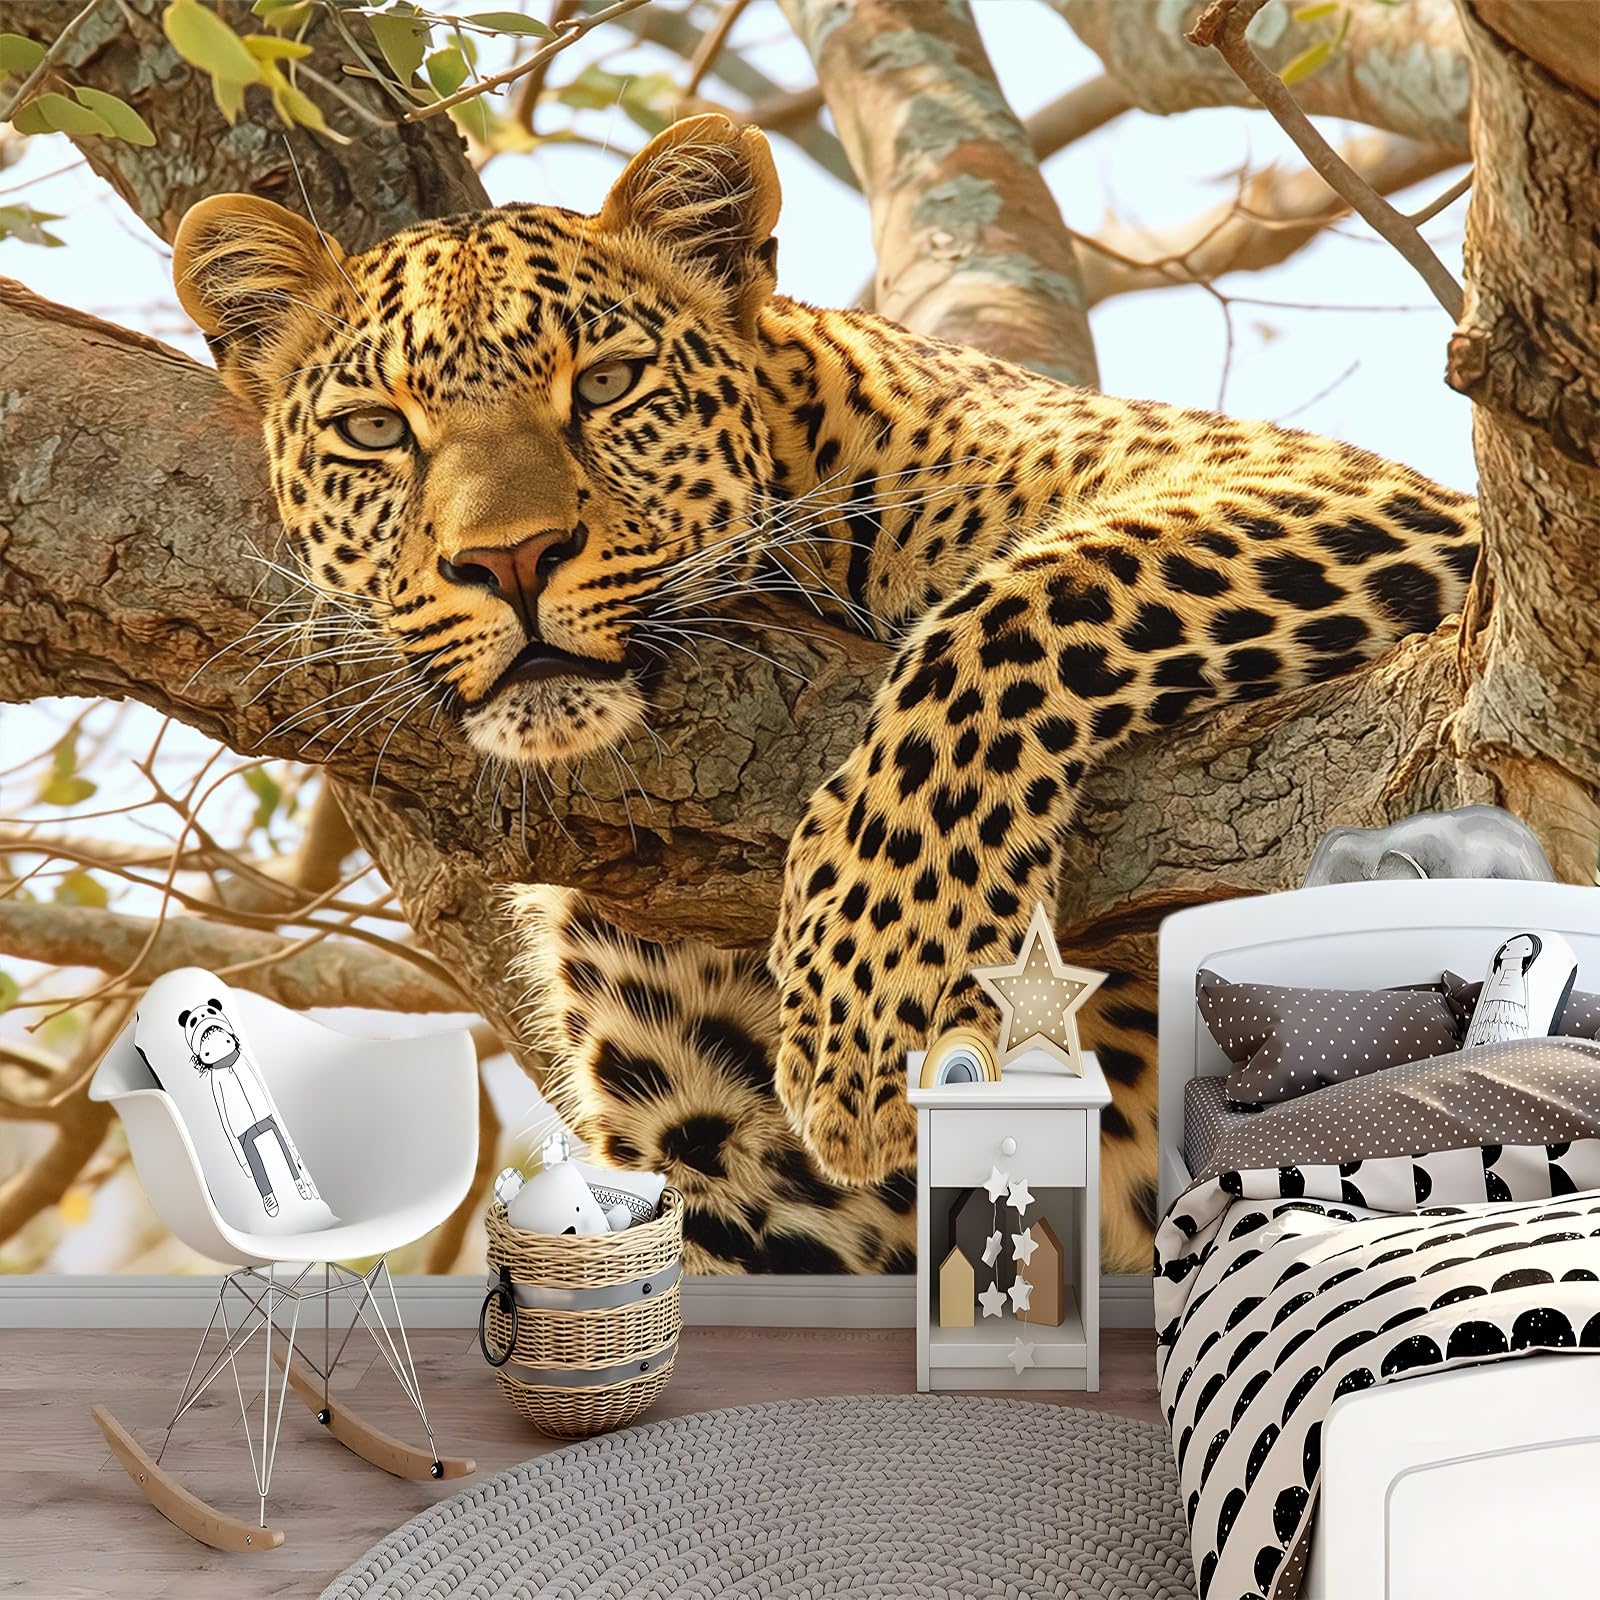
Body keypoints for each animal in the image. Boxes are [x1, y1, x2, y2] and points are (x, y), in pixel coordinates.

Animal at [172, 114, 1478, 1274]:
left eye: (608, 383)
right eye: (373, 429)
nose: (512, 558)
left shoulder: (1372, 498)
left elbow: (1030, 598)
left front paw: (885, 991)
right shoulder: (758, 1182)